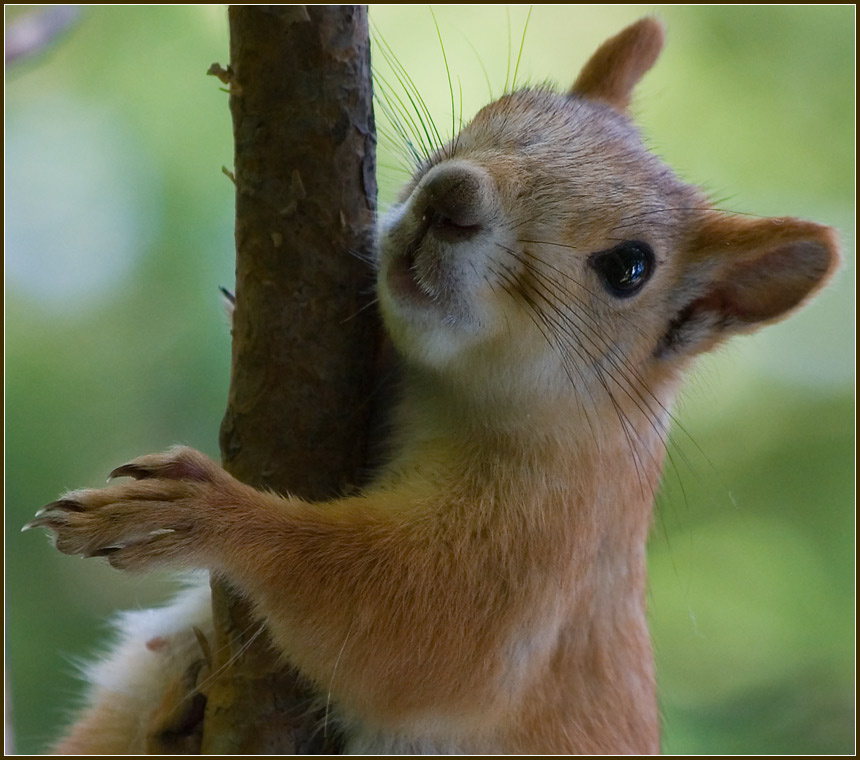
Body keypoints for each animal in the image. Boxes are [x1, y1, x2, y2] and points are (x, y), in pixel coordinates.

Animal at [26, 17, 839, 755]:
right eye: (505, 105)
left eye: (629, 268)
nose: (451, 196)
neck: (439, 392)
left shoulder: (549, 547)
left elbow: (422, 631)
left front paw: (197, 513)